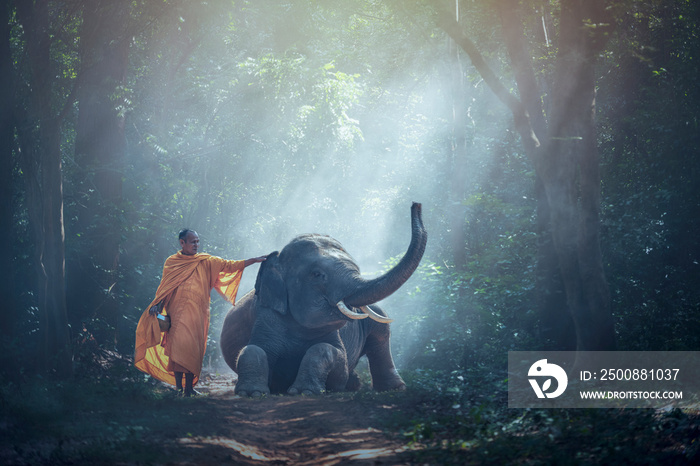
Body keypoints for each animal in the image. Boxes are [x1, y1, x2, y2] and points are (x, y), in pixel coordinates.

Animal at [219, 202, 426, 396]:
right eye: (317, 274)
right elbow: (253, 349)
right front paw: (251, 393)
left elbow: (331, 353)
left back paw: (392, 389)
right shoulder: (267, 315)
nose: (416, 205)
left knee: (381, 334)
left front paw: (304, 391)